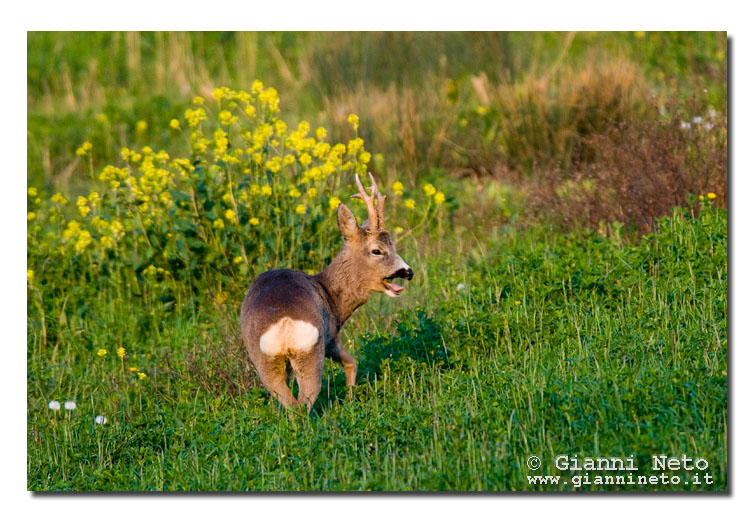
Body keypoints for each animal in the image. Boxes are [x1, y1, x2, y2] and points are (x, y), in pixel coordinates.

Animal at [241, 173, 414, 408]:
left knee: (289, 400)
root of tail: (284, 324)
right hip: (312, 351)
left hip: (266, 361)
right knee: (303, 402)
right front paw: (350, 398)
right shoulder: (331, 335)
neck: (330, 294)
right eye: (377, 250)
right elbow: (352, 362)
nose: (408, 271)